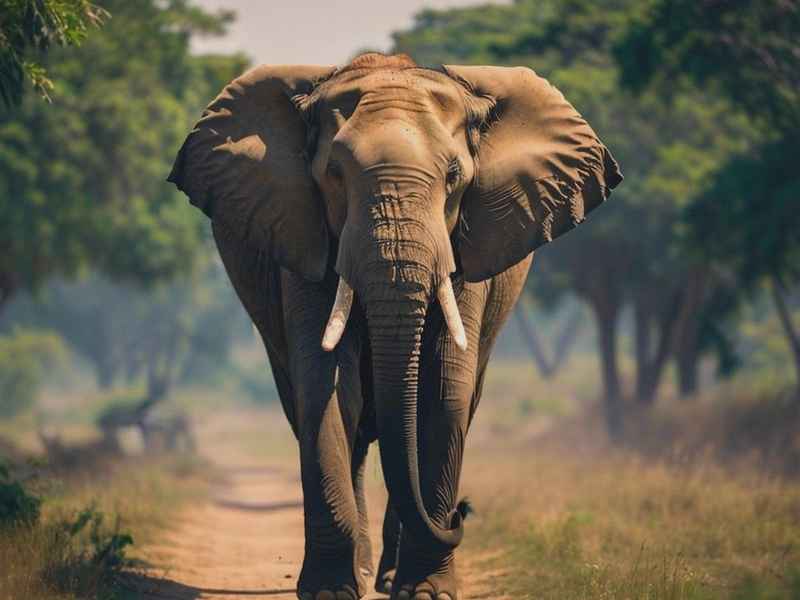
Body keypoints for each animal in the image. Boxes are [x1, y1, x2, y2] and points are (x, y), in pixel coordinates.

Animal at [168, 52, 621, 600]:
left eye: (454, 177)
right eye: (334, 174)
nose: (462, 513)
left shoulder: (464, 245)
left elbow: (443, 391)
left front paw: (426, 592)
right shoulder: (302, 235)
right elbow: (326, 387)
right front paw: (329, 592)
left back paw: (385, 579)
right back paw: (364, 573)